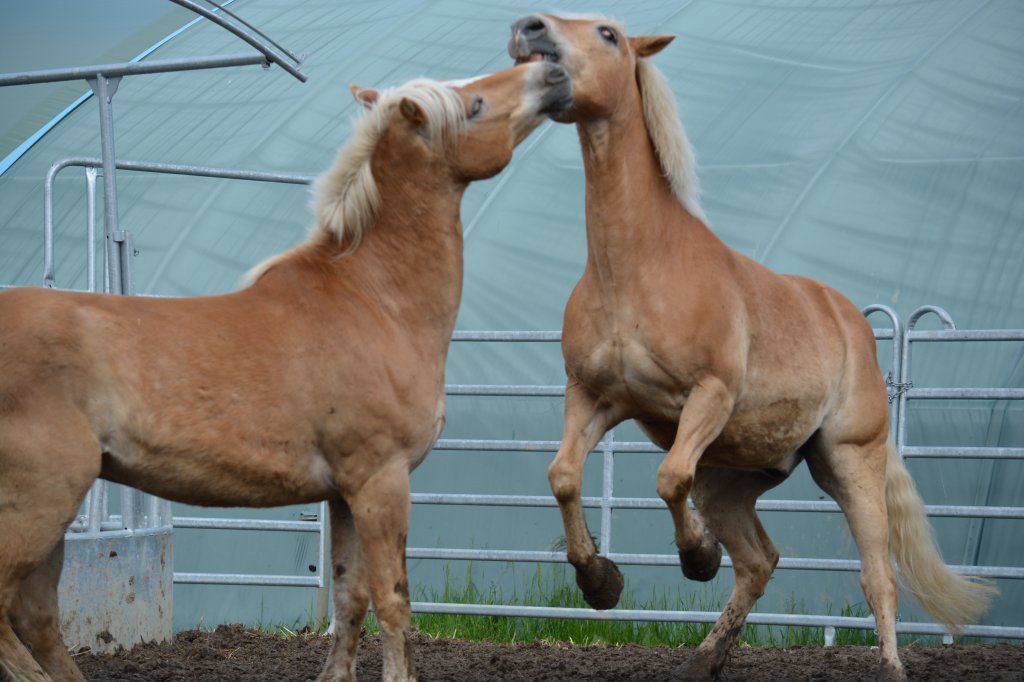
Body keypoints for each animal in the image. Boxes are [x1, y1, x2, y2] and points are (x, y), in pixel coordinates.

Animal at [0, 59, 577, 679]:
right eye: (473, 104)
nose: (551, 69)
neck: (374, 297)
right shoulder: (382, 479)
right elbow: (392, 599)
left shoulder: (345, 493)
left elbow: (351, 597)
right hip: (42, 503)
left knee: (37, 616)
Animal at [507, 11, 995, 679]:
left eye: (608, 33)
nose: (529, 29)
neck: (638, 267)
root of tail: (852, 321)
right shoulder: (594, 396)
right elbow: (562, 475)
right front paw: (600, 581)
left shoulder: (707, 396)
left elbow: (667, 477)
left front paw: (695, 558)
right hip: (730, 482)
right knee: (761, 561)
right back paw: (704, 659)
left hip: (850, 462)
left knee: (878, 576)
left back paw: (890, 666)